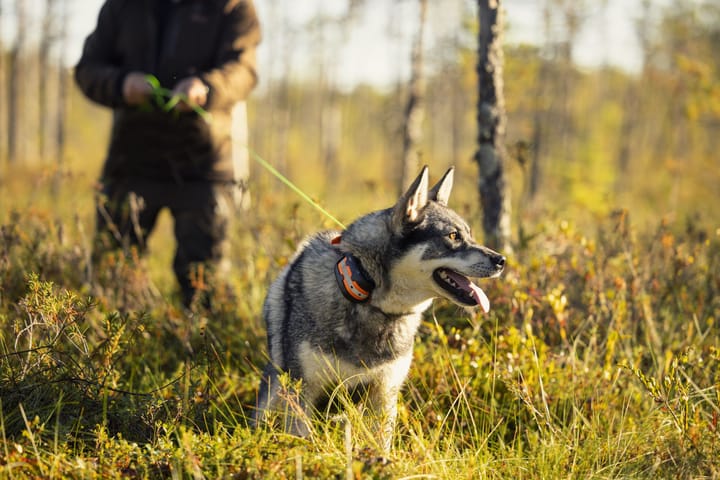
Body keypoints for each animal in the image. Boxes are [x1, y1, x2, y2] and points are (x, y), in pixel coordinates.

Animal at [255, 165, 506, 450]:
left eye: (470, 235)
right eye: (453, 236)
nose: (501, 260)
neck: (368, 299)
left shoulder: (384, 394)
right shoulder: (303, 393)